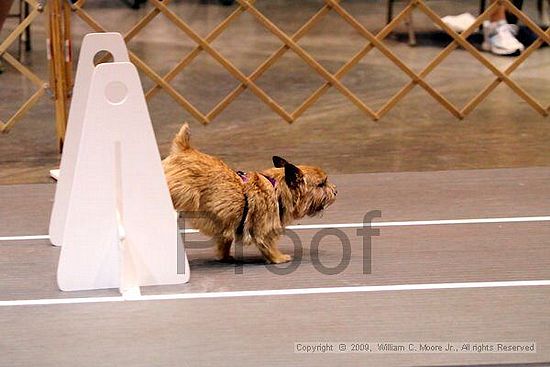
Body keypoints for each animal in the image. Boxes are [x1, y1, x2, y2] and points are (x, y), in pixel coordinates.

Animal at [162, 125, 338, 264]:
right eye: (321, 184)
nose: (336, 191)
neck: (277, 188)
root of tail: (184, 149)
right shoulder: (264, 229)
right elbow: (269, 245)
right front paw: (279, 258)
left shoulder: (226, 223)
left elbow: (225, 241)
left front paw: (224, 256)